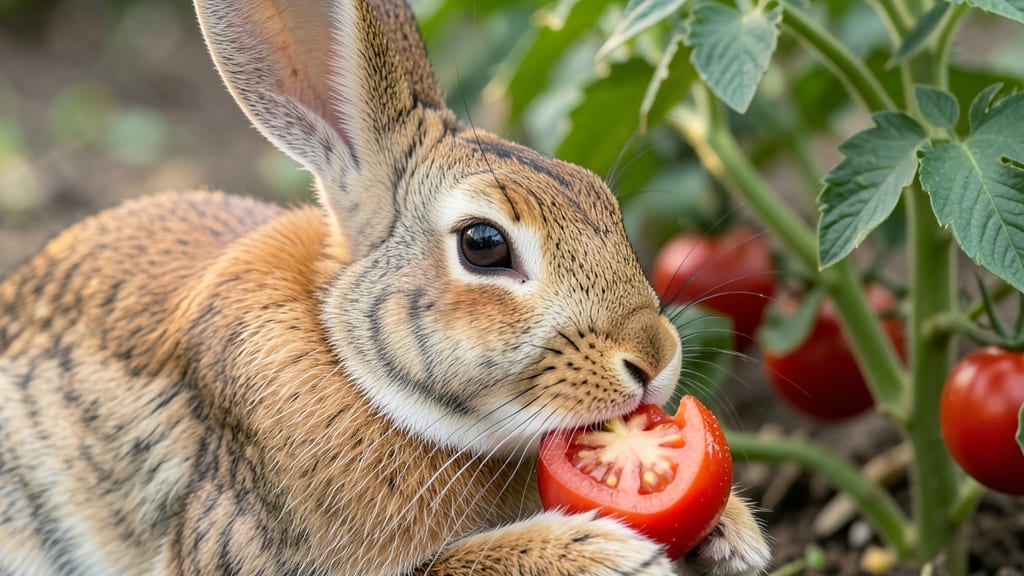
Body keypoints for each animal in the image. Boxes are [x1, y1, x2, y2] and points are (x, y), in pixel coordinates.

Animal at [0, 0, 772, 574]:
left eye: (604, 204)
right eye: (483, 245)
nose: (655, 359)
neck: (351, 364)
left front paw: (734, 533)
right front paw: (601, 555)